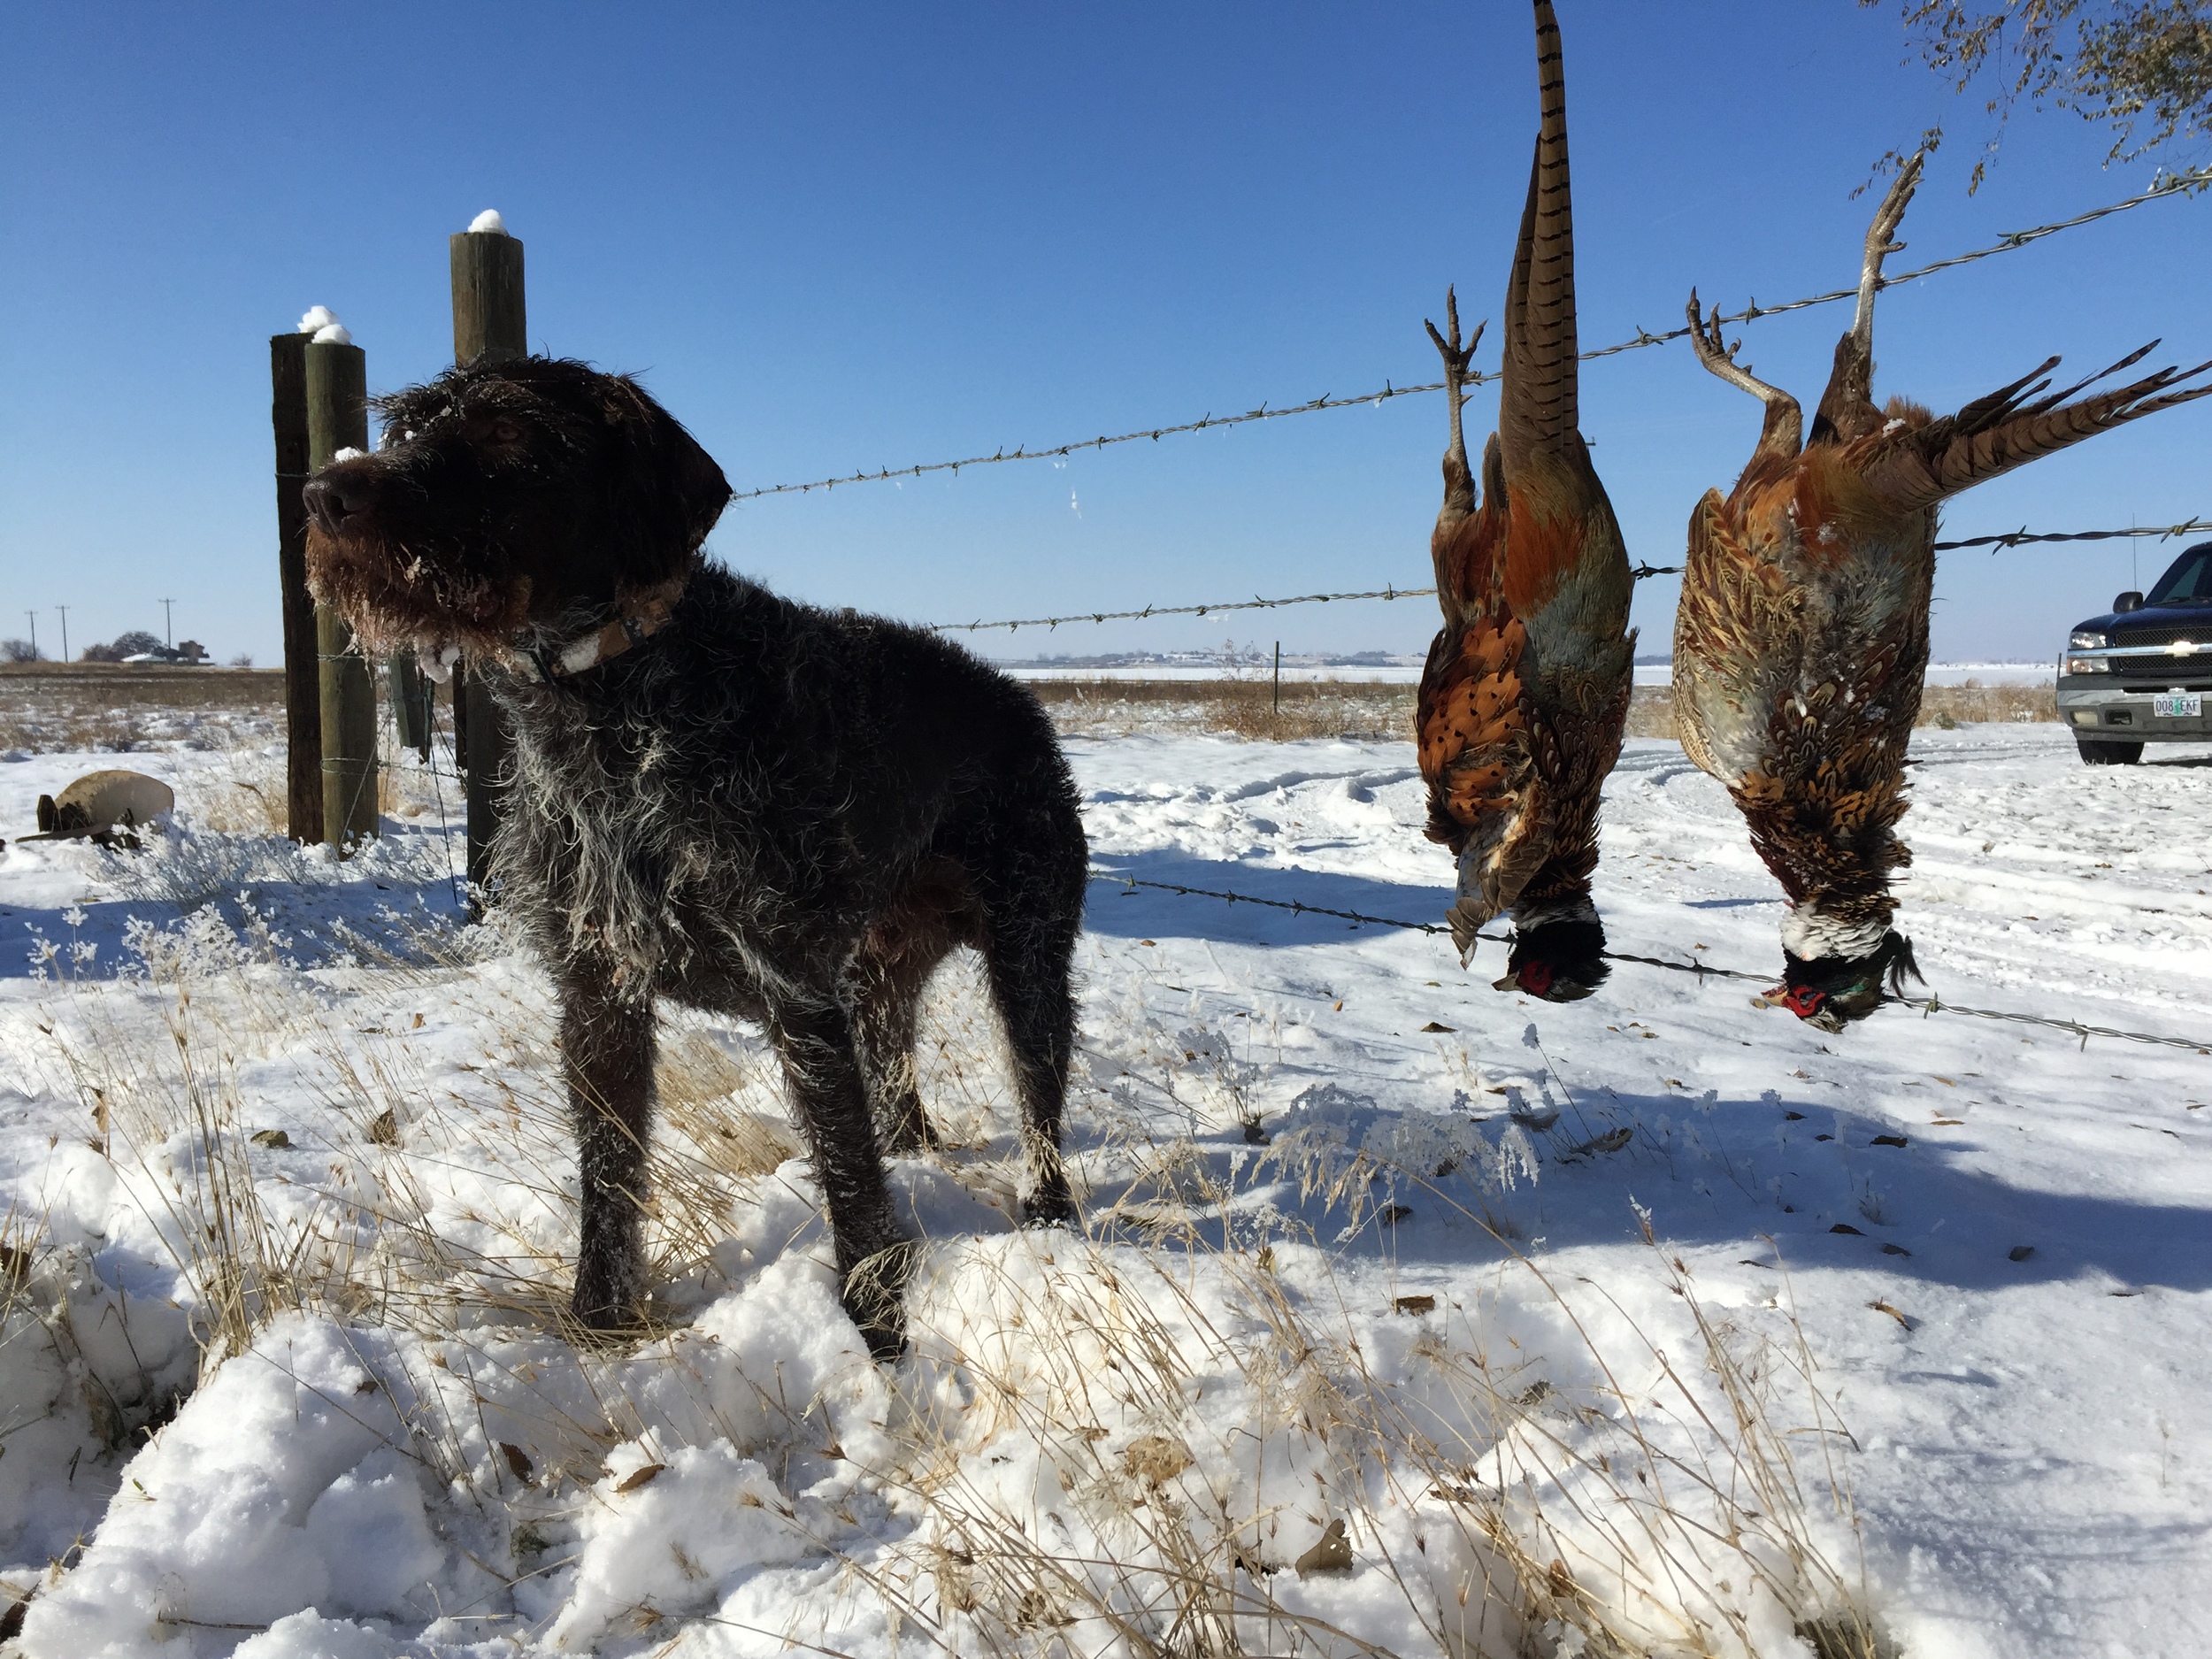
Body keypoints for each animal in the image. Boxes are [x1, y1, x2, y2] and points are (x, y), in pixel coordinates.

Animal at [305, 358, 1088, 1354]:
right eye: (409, 428)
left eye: (509, 438)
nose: (326, 495)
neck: (605, 711)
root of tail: (1023, 705)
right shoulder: (597, 993)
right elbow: (609, 1178)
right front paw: (599, 1327)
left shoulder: (795, 990)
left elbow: (847, 1178)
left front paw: (878, 1335)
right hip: (878, 980)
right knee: (897, 1085)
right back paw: (918, 1153)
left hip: (1028, 959)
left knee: (1037, 1096)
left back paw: (1049, 1212)